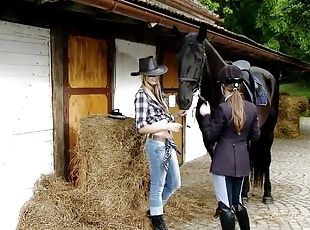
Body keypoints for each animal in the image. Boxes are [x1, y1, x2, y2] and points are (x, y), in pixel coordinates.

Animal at [176, 26, 280, 204]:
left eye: (198, 59)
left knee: (266, 158)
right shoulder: (208, 138)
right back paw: (245, 192)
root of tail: (268, 75)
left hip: (268, 130)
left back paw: (267, 194)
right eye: (178, 58)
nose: (183, 99)